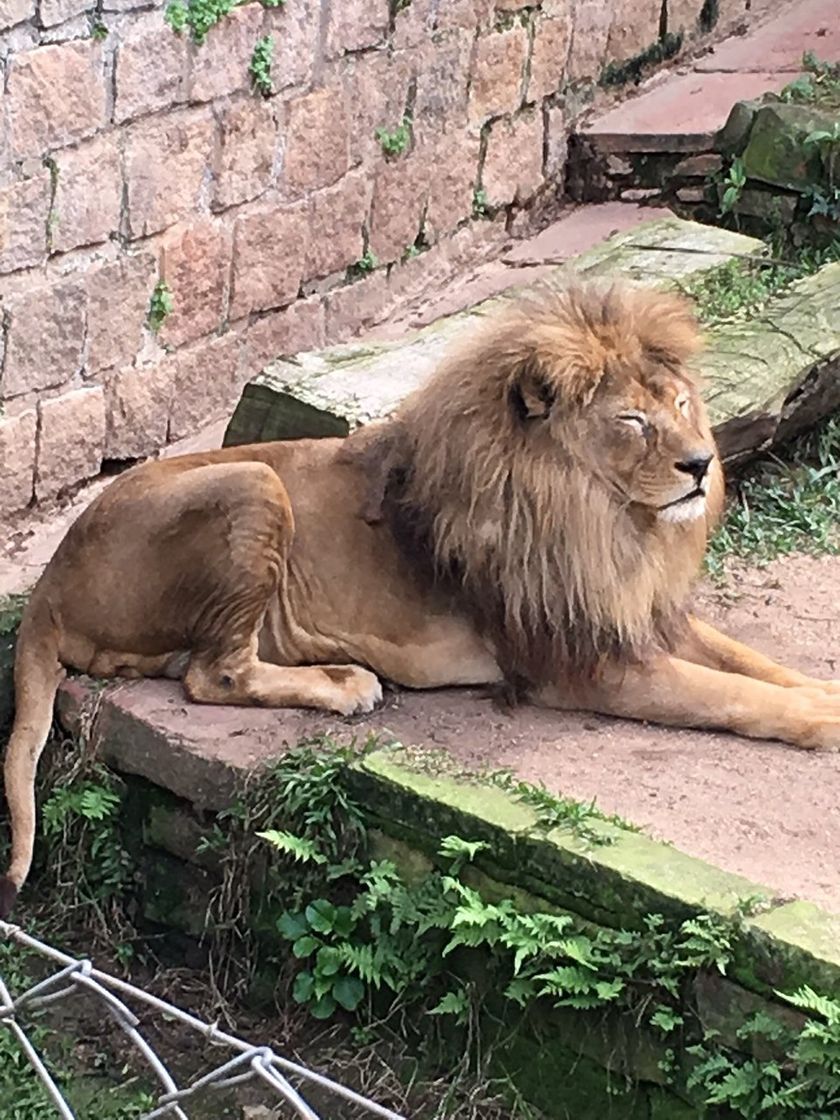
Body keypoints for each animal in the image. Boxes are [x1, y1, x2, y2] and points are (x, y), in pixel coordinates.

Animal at [1, 282, 840, 918]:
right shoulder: (581, 664)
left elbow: (756, 668)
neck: (606, 523)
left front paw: (824, 691)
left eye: (682, 403)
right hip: (255, 481)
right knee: (214, 674)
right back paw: (345, 684)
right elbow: (735, 697)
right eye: (633, 420)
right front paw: (824, 721)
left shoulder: (637, 618)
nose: (702, 464)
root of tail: (50, 580)